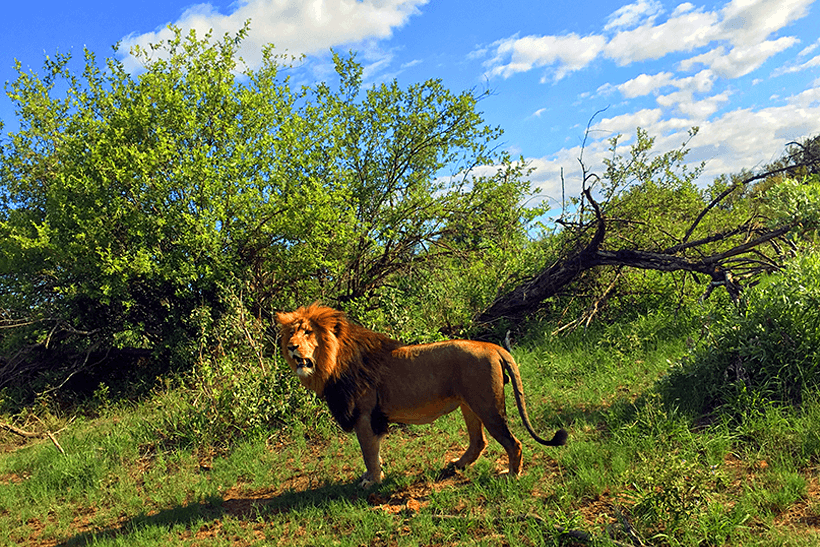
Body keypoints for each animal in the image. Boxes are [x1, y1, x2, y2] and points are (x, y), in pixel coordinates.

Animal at [274, 304, 564, 488]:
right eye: (291, 333)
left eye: (308, 332)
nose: (292, 347)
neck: (330, 363)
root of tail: (492, 346)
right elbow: (374, 452)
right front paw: (374, 474)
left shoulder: (364, 416)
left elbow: (368, 451)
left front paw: (372, 481)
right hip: (470, 405)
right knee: (478, 441)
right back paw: (457, 465)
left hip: (488, 405)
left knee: (513, 443)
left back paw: (511, 476)